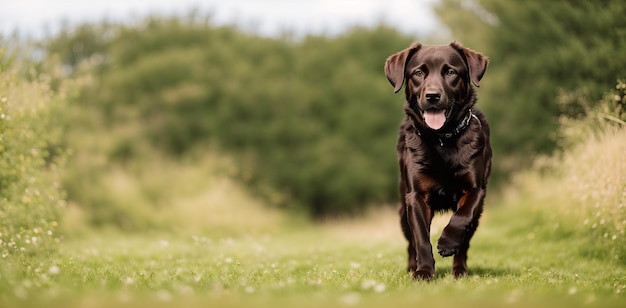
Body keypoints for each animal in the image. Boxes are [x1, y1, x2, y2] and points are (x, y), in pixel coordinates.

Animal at [382, 42, 490, 280]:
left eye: (450, 72)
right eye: (418, 73)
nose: (432, 96)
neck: (442, 139)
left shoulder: (475, 190)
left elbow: (462, 217)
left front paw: (447, 243)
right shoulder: (416, 197)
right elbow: (421, 239)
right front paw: (423, 271)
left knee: (465, 240)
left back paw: (460, 270)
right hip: (402, 210)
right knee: (411, 243)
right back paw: (412, 266)